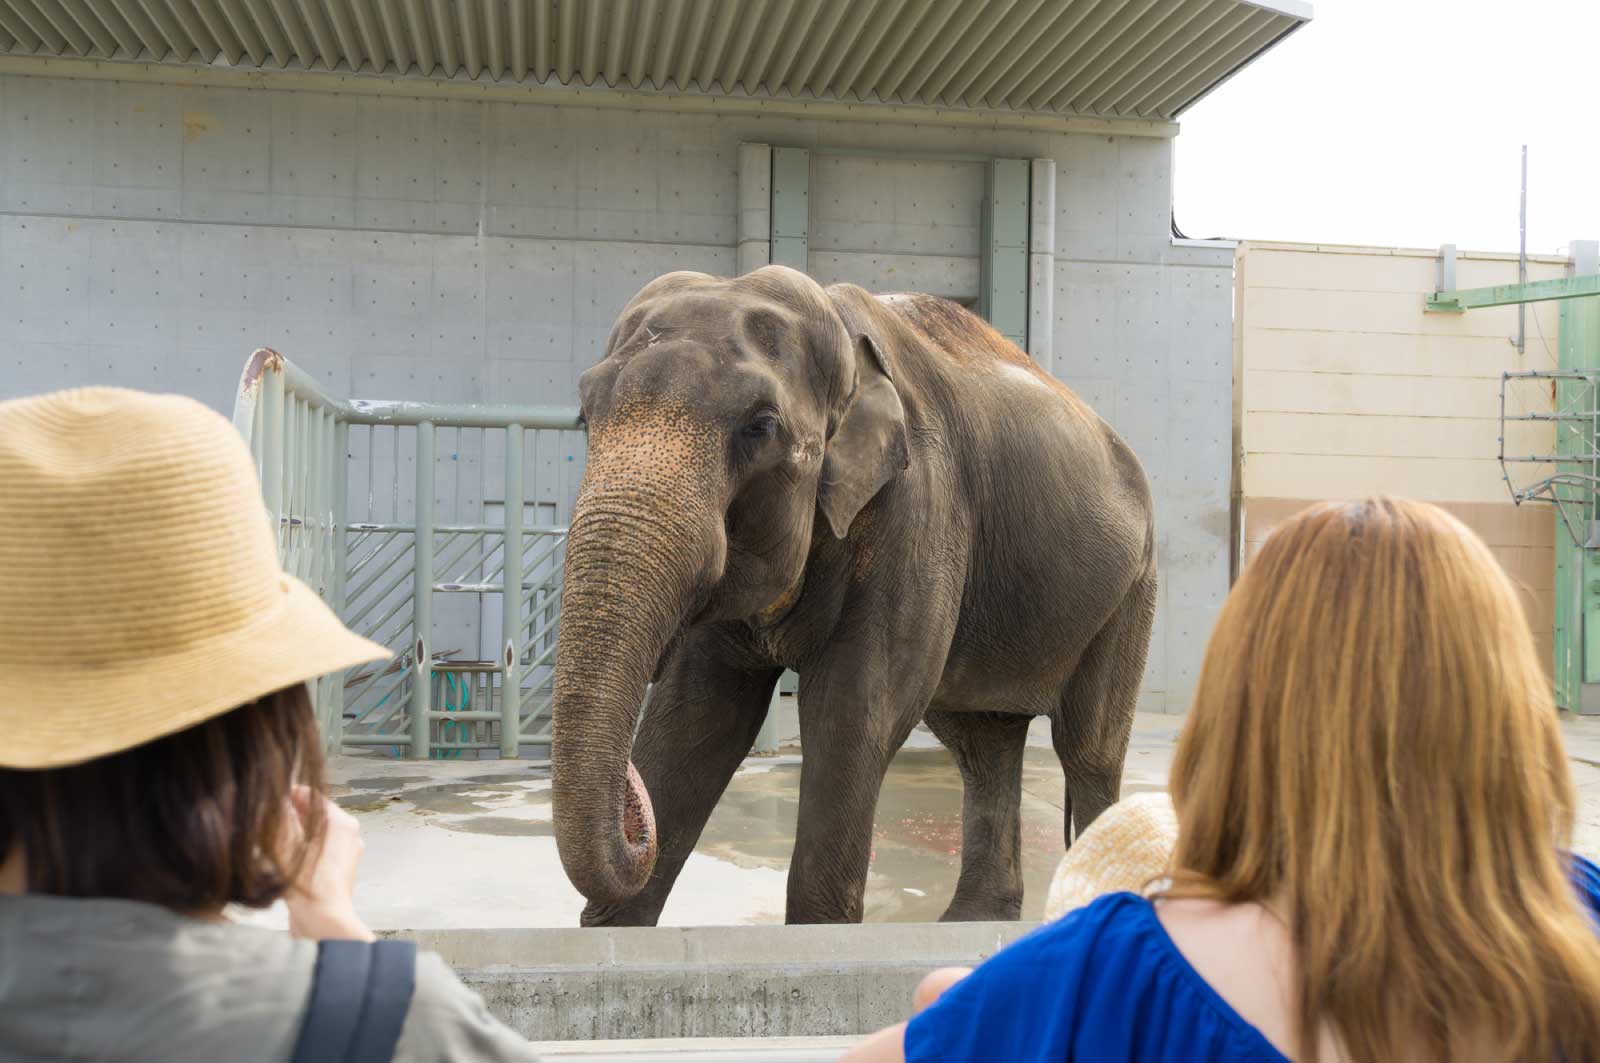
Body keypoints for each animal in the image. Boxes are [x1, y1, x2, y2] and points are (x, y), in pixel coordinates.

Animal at [550, 267, 1152, 928]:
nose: (636, 818)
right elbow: (697, 714)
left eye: (761, 425)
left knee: (1089, 749)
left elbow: (854, 711)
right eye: (585, 414)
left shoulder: (919, 512)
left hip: (1130, 591)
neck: (841, 334)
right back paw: (974, 921)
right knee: (983, 744)